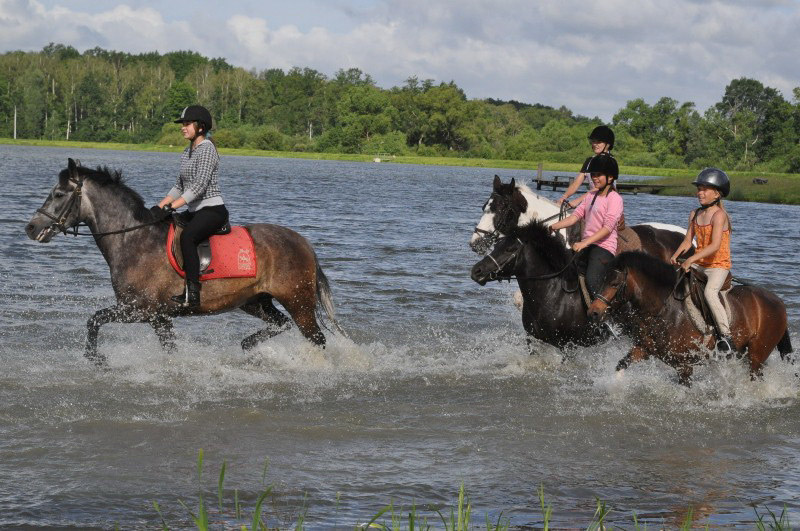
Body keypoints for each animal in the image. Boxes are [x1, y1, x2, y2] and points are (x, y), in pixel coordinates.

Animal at [25, 158, 340, 366]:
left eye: (58, 194)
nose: (30, 228)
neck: (133, 240)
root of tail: (304, 244)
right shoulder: (160, 317)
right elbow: (170, 349)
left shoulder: (141, 310)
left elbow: (94, 319)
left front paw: (97, 358)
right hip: (255, 301)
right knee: (281, 325)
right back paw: (248, 346)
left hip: (298, 302)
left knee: (316, 339)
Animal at [588, 251, 792, 384]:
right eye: (602, 280)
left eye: (614, 284)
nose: (593, 312)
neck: (665, 309)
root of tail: (778, 301)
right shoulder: (644, 349)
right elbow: (621, 365)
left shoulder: (684, 365)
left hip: (757, 355)